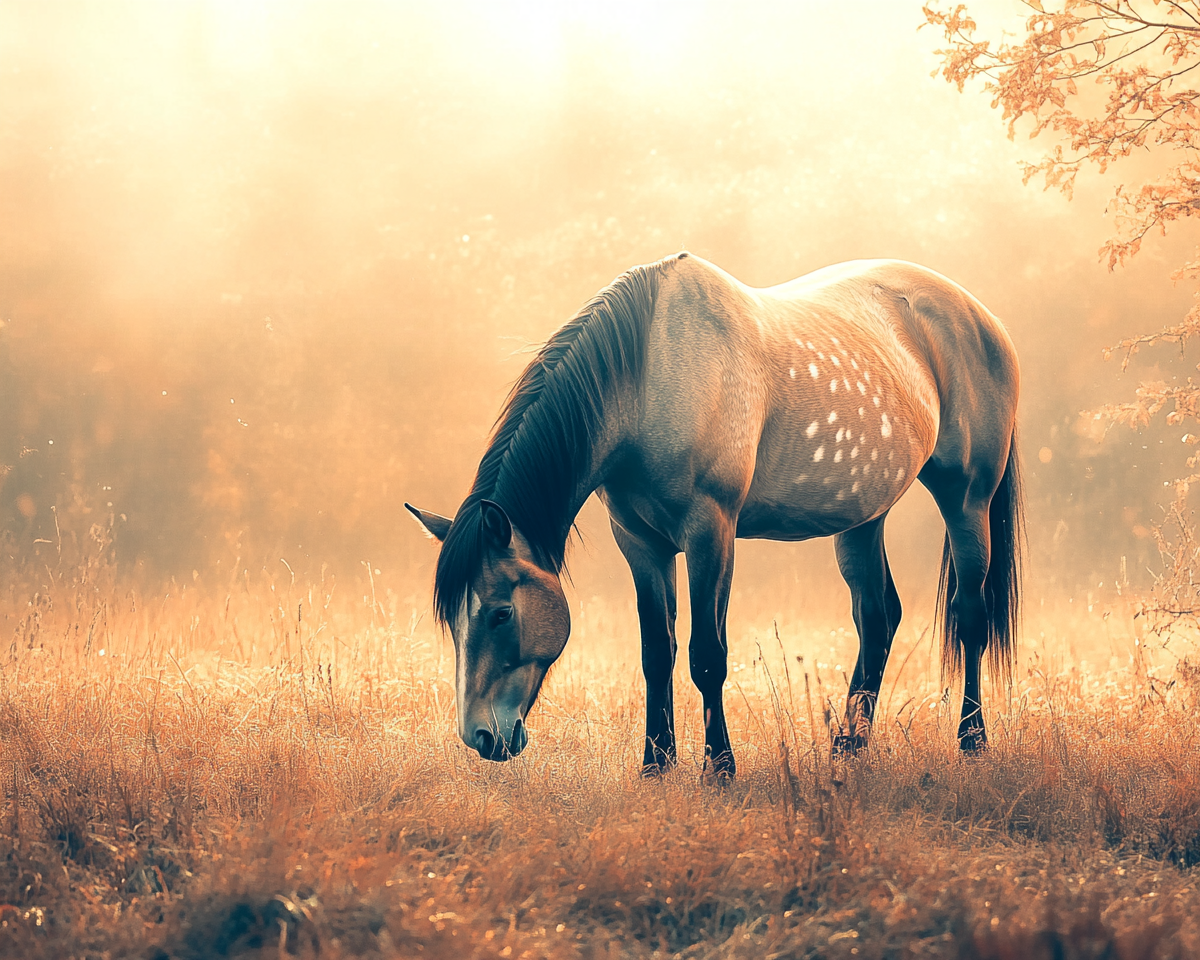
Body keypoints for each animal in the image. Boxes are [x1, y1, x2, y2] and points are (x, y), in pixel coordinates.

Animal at [405, 250, 1022, 777]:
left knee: (969, 612)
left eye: (501, 614)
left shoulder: (711, 531)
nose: (481, 737)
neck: (652, 376)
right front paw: (656, 764)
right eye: (453, 620)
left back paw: (971, 739)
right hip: (863, 515)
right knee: (878, 615)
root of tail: (984, 319)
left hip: (967, 497)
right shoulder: (640, 542)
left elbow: (707, 656)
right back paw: (848, 746)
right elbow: (657, 652)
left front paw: (719, 768)